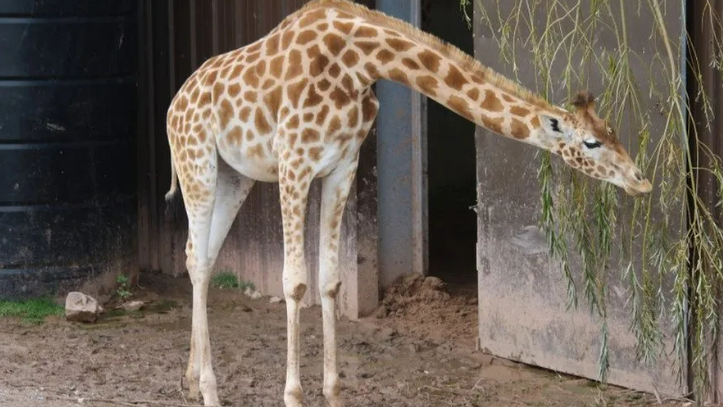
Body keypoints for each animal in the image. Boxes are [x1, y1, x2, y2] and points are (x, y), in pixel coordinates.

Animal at [165, 0, 656, 407]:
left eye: (614, 131)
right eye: (591, 143)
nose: (642, 182)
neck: (357, 63)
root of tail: (174, 104)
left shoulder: (342, 166)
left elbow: (330, 281)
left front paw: (334, 393)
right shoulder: (294, 164)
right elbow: (294, 283)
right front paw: (294, 396)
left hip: (235, 176)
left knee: (198, 255)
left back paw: (189, 379)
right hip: (198, 164)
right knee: (199, 260)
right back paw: (208, 390)